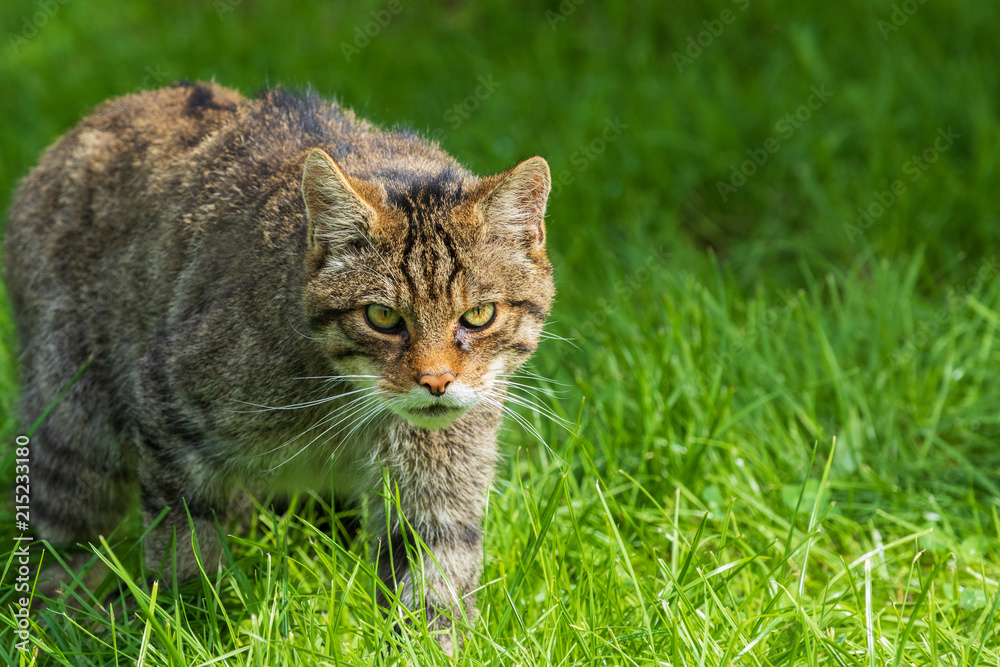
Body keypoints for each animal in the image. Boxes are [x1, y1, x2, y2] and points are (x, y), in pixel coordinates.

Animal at [1, 81, 556, 656]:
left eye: (479, 314)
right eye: (382, 317)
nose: (437, 381)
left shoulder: (440, 485)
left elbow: (434, 587)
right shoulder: (167, 406)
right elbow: (185, 549)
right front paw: (189, 625)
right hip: (74, 431)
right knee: (59, 546)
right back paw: (56, 622)